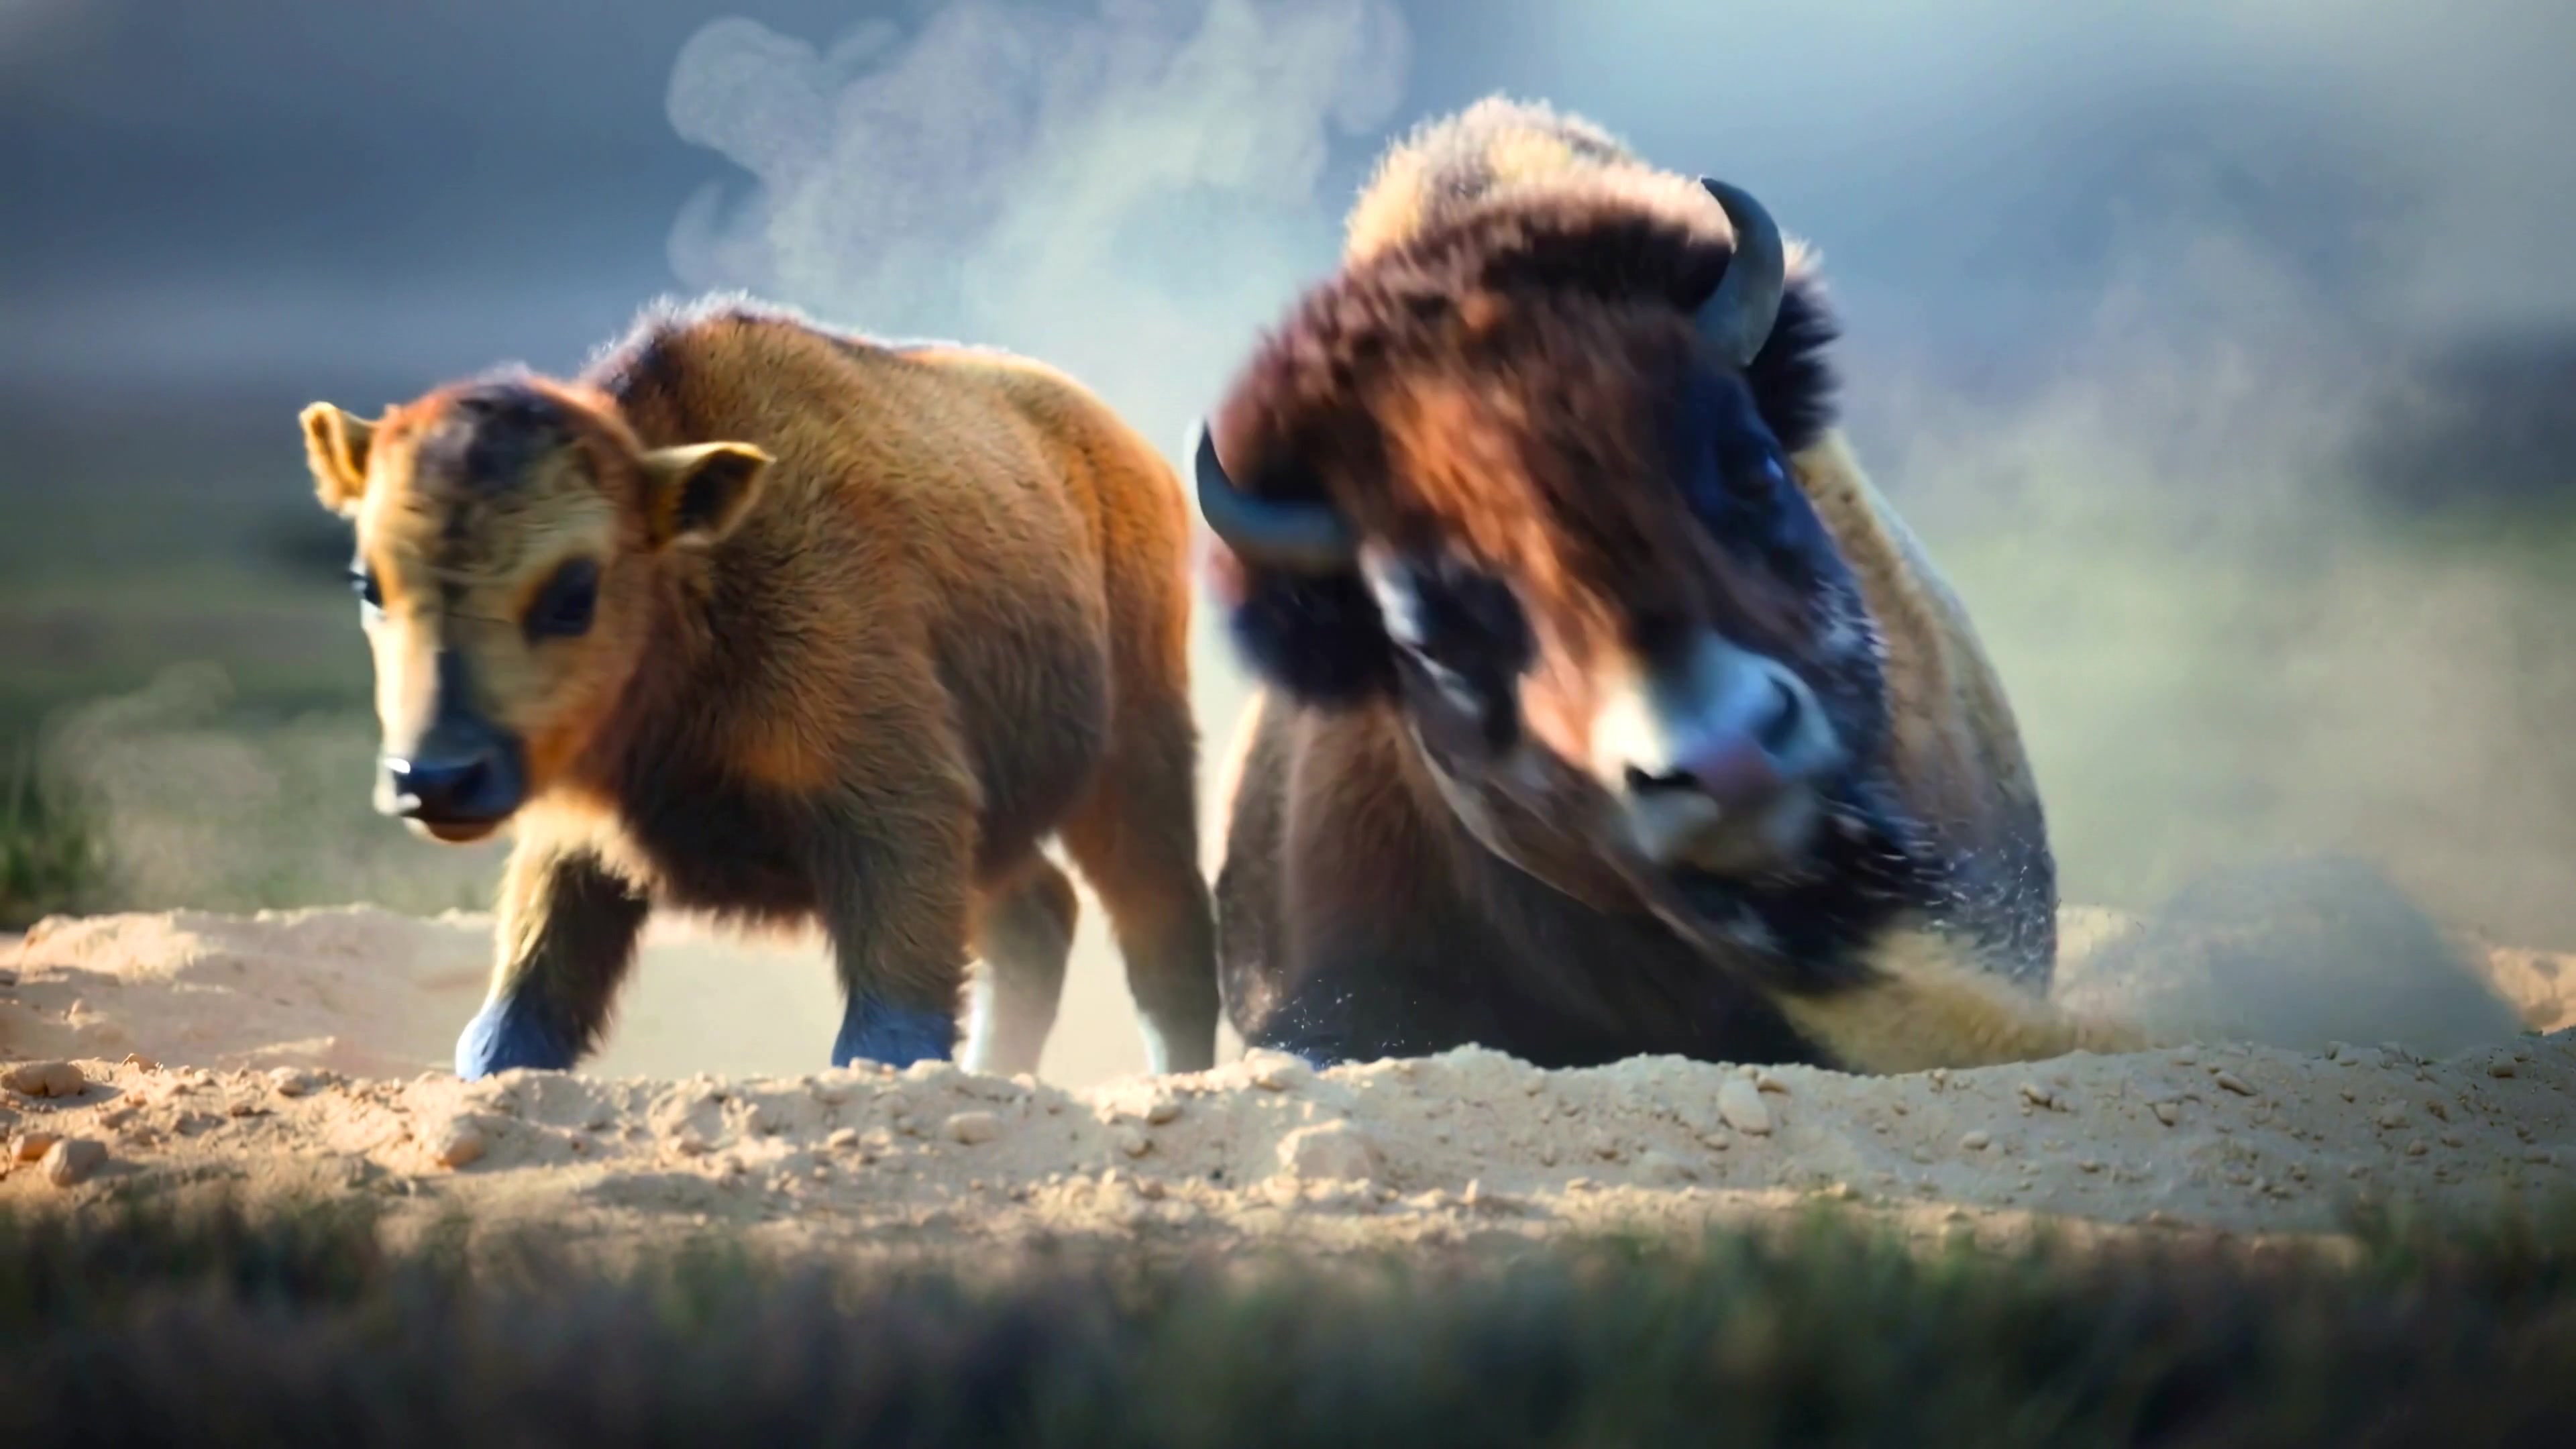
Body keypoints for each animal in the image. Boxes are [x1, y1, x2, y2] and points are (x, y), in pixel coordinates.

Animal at [298, 294, 1219, 1082]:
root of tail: (1133, 458)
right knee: (1037, 917)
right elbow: (516, 1020)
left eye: (573, 592)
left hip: (1136, 759)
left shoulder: (899, 812)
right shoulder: (570, 845)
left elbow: (886, 1030)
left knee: (1163, 931)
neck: (703, 569)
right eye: (367, 582)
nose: (435, 779)